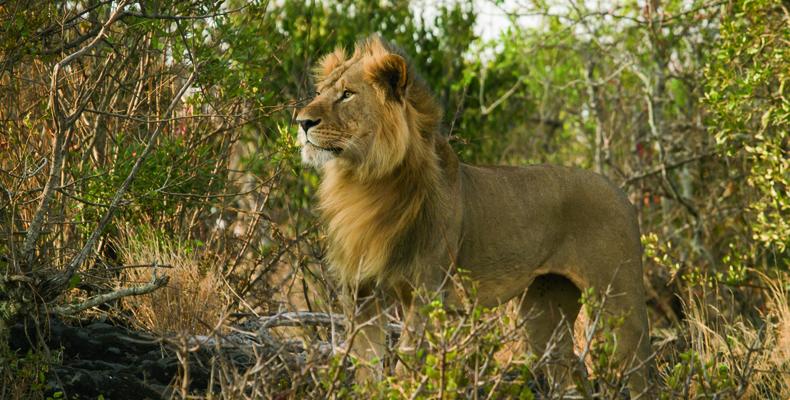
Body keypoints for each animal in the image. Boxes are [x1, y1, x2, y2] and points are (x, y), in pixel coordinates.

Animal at [296, 35, 656, 394]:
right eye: (320, 92)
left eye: (347, 94)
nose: (301, 122)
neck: (364, 181)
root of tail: (621, 193)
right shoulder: (359, 293)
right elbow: (367, 369)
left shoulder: (426, 293)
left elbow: (403, 367)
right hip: (545, 311)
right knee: (571, 372)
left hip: (620, 306)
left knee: (639, 372)